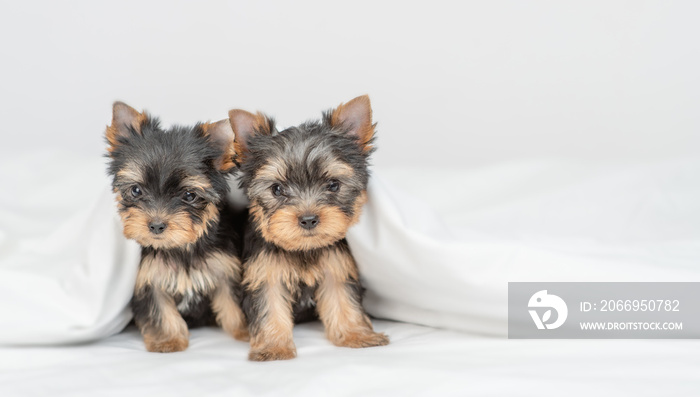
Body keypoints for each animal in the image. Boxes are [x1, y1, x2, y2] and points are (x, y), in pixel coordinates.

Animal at [102, 101, 247, 350]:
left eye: (189, 195)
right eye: (136, 191)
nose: (156, 225)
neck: (178, 247)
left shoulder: (224, 269)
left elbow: (232, 302)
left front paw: (245, 331)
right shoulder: (148, 279)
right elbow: (160, 310)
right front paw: (168, 340)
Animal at [228, 95, 388, 358]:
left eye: (333, 185)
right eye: (277, 189)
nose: (308, 219)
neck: (304, 248)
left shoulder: (336, 267)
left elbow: (344, 300)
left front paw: (357, 335)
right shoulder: (265, 272)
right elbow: (269, 306)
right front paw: (273, 347)